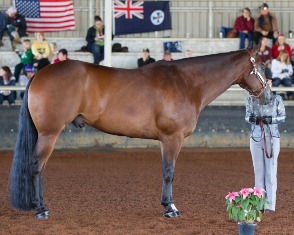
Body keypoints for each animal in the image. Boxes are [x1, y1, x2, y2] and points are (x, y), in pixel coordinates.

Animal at [9, 43, 266, 218]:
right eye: (262, 65)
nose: (267, 91)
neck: (186, 82)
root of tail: (39, 74)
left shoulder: (165, 140)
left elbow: (166, 171)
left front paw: (166, 204)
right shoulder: (172, 138)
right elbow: (169, 172)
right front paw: (170, 208)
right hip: (49, 134)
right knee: (36, 167)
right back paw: (41, 209)